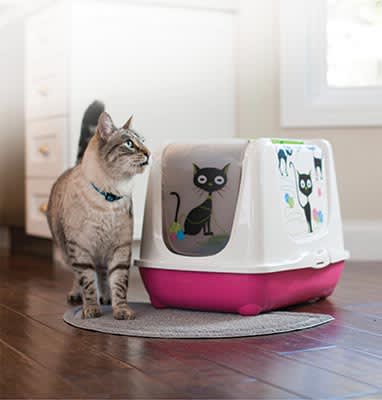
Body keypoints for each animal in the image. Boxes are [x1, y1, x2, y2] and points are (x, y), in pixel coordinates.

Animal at [47, 102, 150, 318]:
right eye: (129, 144)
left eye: (144, 141)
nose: (149, 153)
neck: (111, 196)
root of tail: (75, 165)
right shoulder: (80, 249)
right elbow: (87, 282)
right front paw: (92, 309)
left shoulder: (121, 248)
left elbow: (119, 282)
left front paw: (121, 310)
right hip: (66, 252)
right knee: (77, 276)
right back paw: (77, 296)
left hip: (103, 252)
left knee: (102, 274)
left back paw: (106, 298)